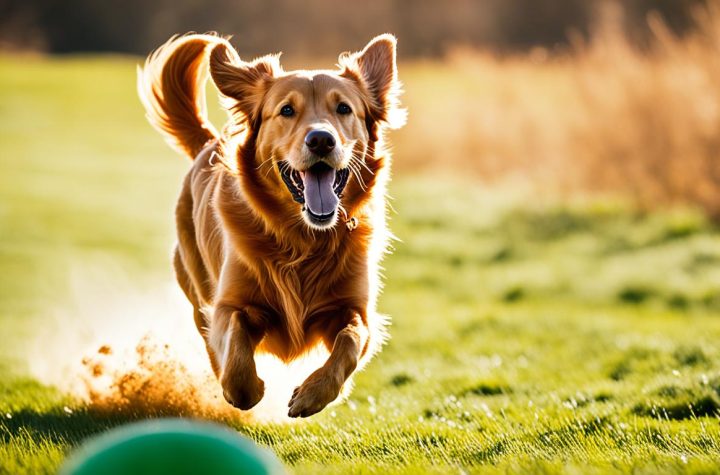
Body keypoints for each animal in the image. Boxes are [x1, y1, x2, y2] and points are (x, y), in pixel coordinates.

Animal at [136, 33, 404, 418]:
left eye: (343, 109)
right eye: (287, 110)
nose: (321, 139)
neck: (303, 240)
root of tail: (207, 142)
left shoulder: (356, 309)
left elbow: (350, 342)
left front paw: (312, 394)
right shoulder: (229, 302)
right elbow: (234, 338)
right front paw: (243, 389)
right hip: (197, 286)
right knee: (209, 339)